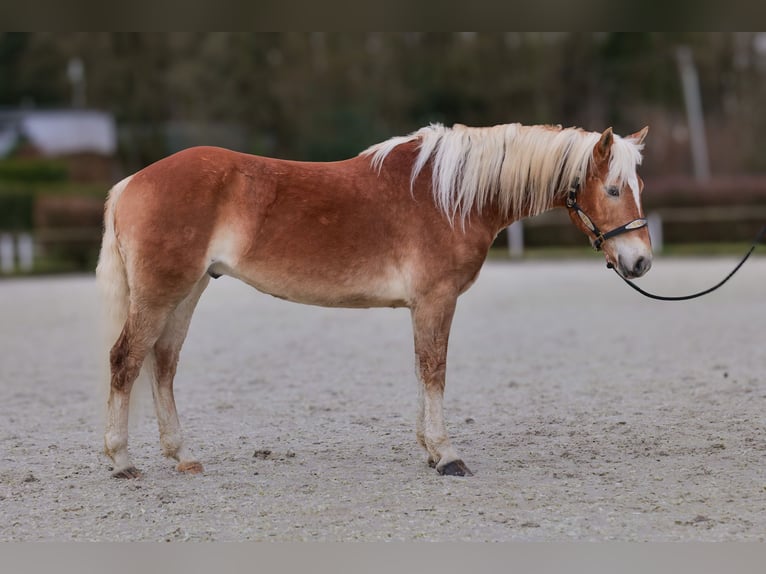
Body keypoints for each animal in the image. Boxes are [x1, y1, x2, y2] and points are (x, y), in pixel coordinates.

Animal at [94, 122, 648, 482]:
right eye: (613, 189)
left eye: (638, 186)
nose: (640, 261)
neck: (447, 195)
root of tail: (132, 182)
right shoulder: (436, 300)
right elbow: (435, 370)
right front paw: (447, 456)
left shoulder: (421, 306)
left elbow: (422, 370)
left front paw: (429, 451)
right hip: (162, 293)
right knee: (126, 360)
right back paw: (122, 461)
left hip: (187, 292)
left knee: (163, 364)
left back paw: (180, 455)